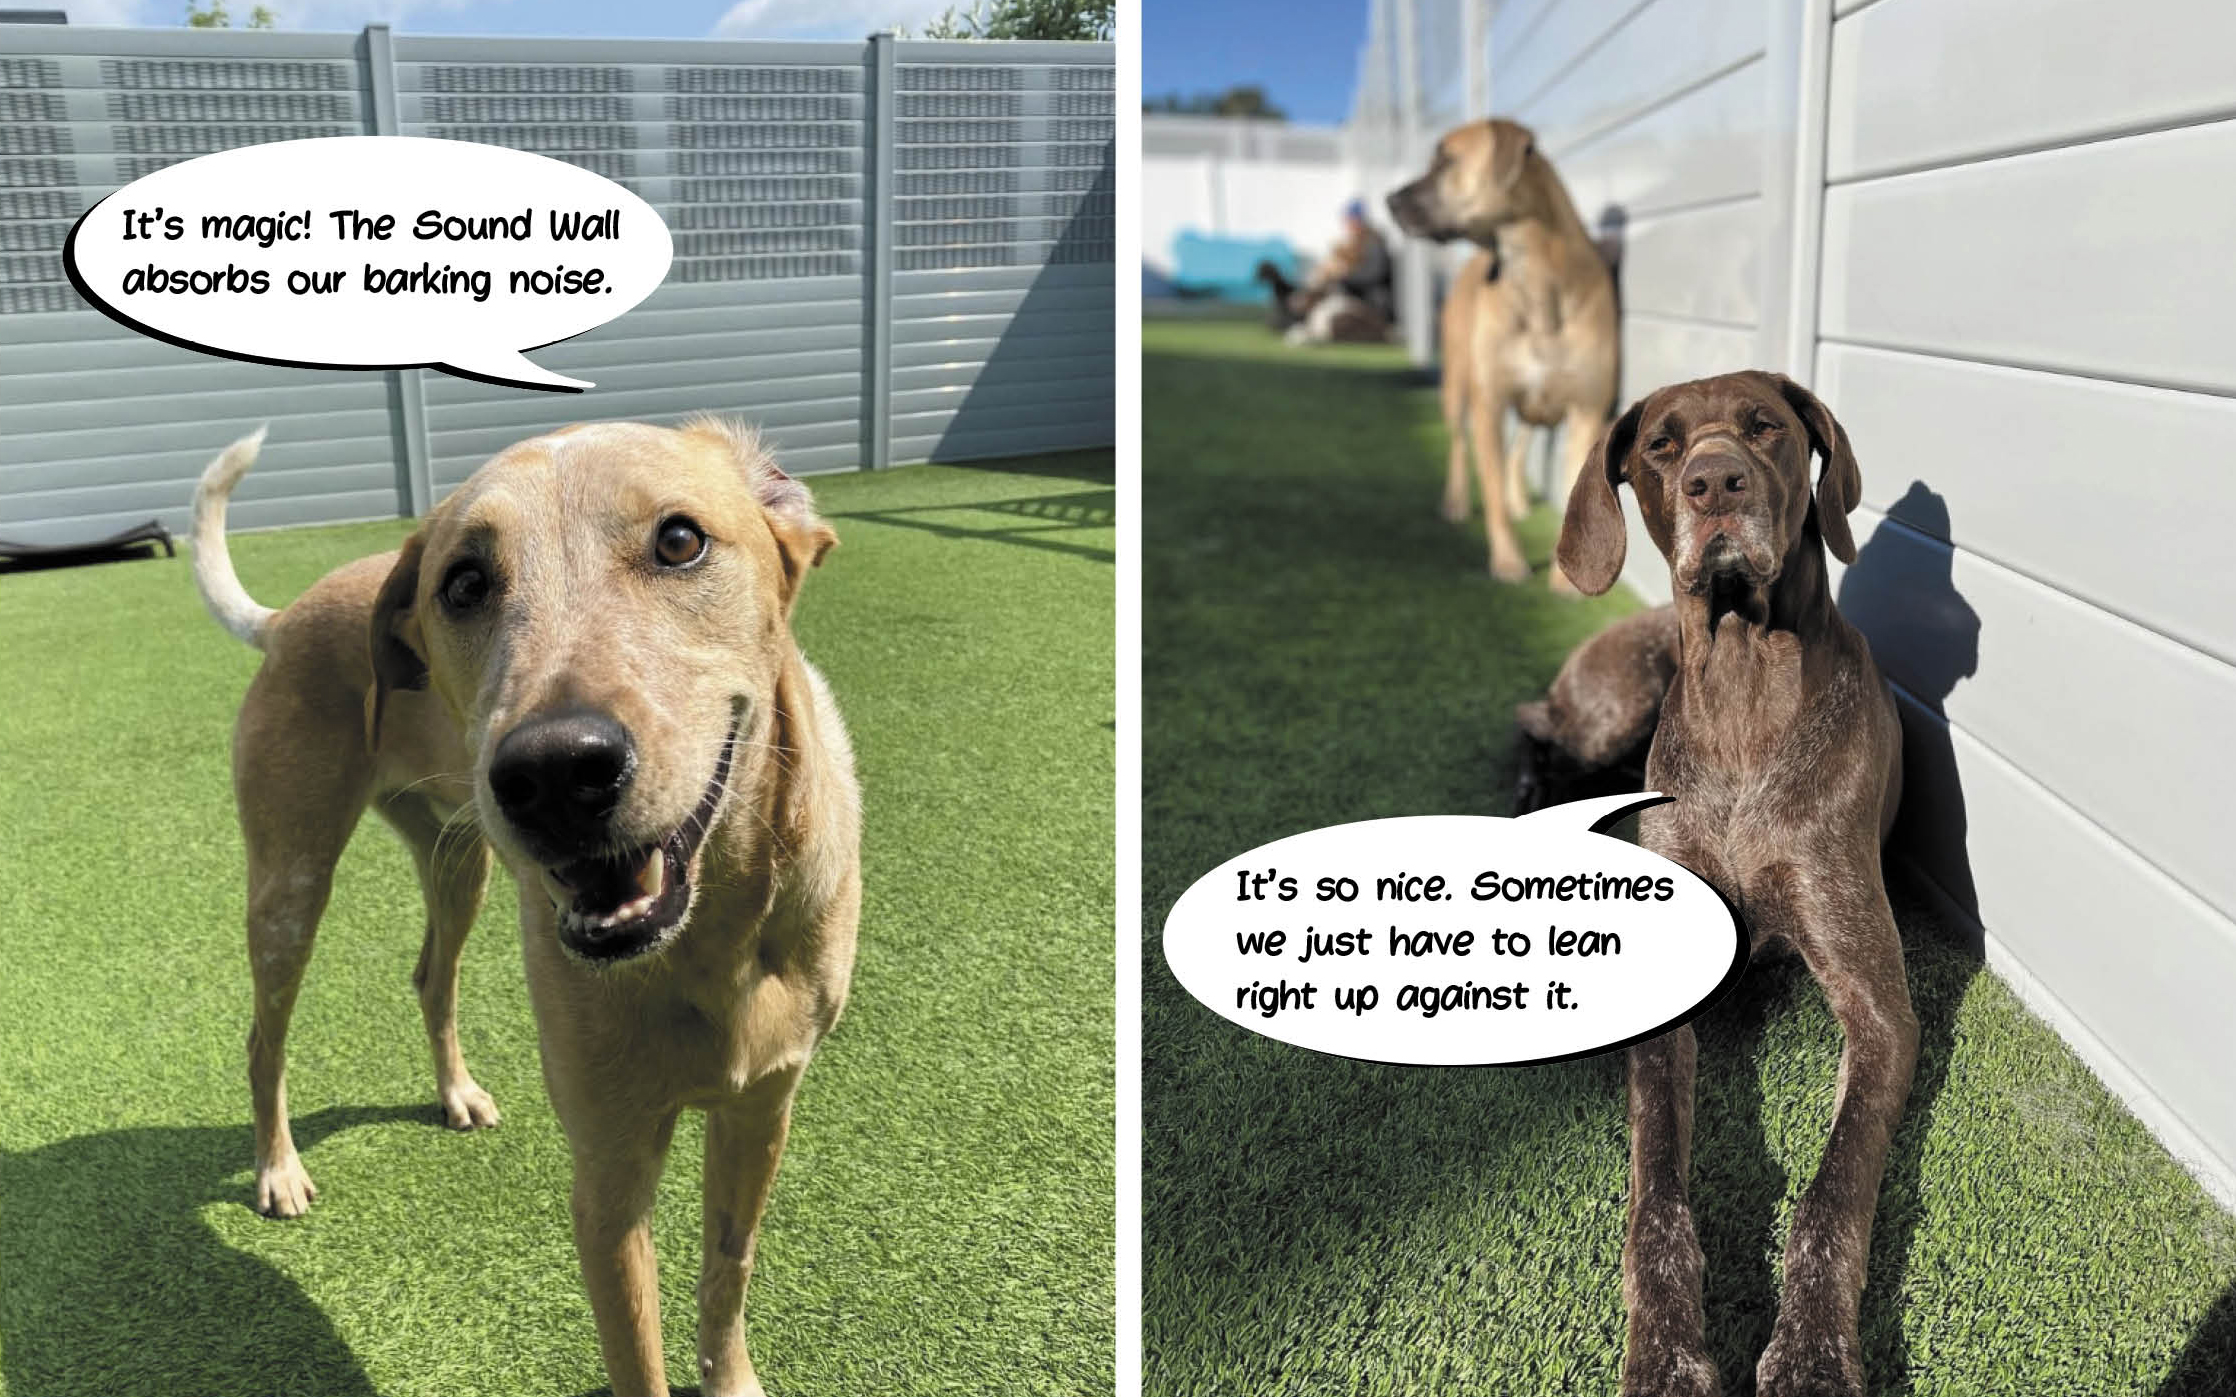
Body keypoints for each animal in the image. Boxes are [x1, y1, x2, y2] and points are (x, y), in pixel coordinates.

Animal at [194, 415, 854, 1394]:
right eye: (464, 582)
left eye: (680, 539)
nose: (553, 773)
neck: (712, 942)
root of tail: (288, 617)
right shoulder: (608, 1173)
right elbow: (638, 1356)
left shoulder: (761, 1109)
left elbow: (726, 1275)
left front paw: (731, 1375)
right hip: (290, 881)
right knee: (262, 1037)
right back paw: (278, 1170)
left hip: (457, 862)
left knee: (431, 976)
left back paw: (457, 1093)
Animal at [1386, 112, 1618, 581]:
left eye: (1446, 161)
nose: (1389, 200)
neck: (1535, 280)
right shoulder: (1489, 404)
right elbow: (1489, 484)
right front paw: (1508, 560)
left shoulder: (1587, 411)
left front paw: (1565, 582)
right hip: (1457, 384)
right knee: (1460, 444)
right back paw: (1457, 501)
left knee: (1520, 445)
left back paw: (1518, 499)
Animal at [1556, 371, 1905, 1394]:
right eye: (1661, 446)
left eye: (1766, 427)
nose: (1717, 482)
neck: (1747, 688)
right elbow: (1658, 1196)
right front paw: (1667, 1354)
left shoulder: (1879, 1007)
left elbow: (1832, 1196)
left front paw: (1813, 1354)